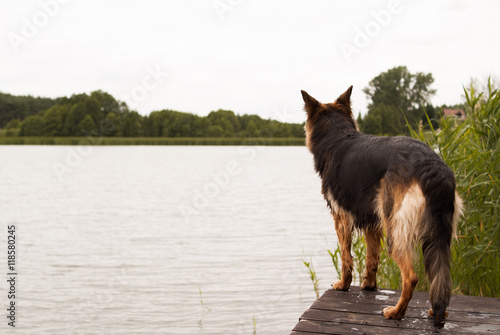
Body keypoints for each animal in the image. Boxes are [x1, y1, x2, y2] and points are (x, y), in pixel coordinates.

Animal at [300, 86, 460, 326]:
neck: (337, 135)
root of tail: (431, 164)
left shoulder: (341, 218)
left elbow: (346, 258)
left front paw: (343, 285)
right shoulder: (372, 222)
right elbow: (372, 258)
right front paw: (369, 286)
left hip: (395, 229)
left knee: (411, 277)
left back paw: (396, 312)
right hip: (438, 233)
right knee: (441, 275)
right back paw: (437, 312)